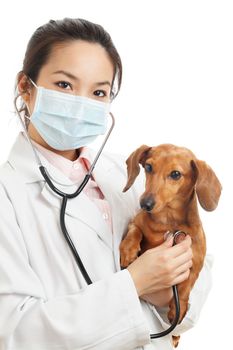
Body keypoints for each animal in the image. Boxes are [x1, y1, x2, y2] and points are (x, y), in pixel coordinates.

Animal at [120, 144, 222, 348]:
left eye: (175, 174)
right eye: (148, 167)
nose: (145, 204)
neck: (166, 222)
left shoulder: (196, 261)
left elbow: (186, 286)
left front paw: (177, 309)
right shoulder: (136, 222)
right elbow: (135, 231)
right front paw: (128, 251)